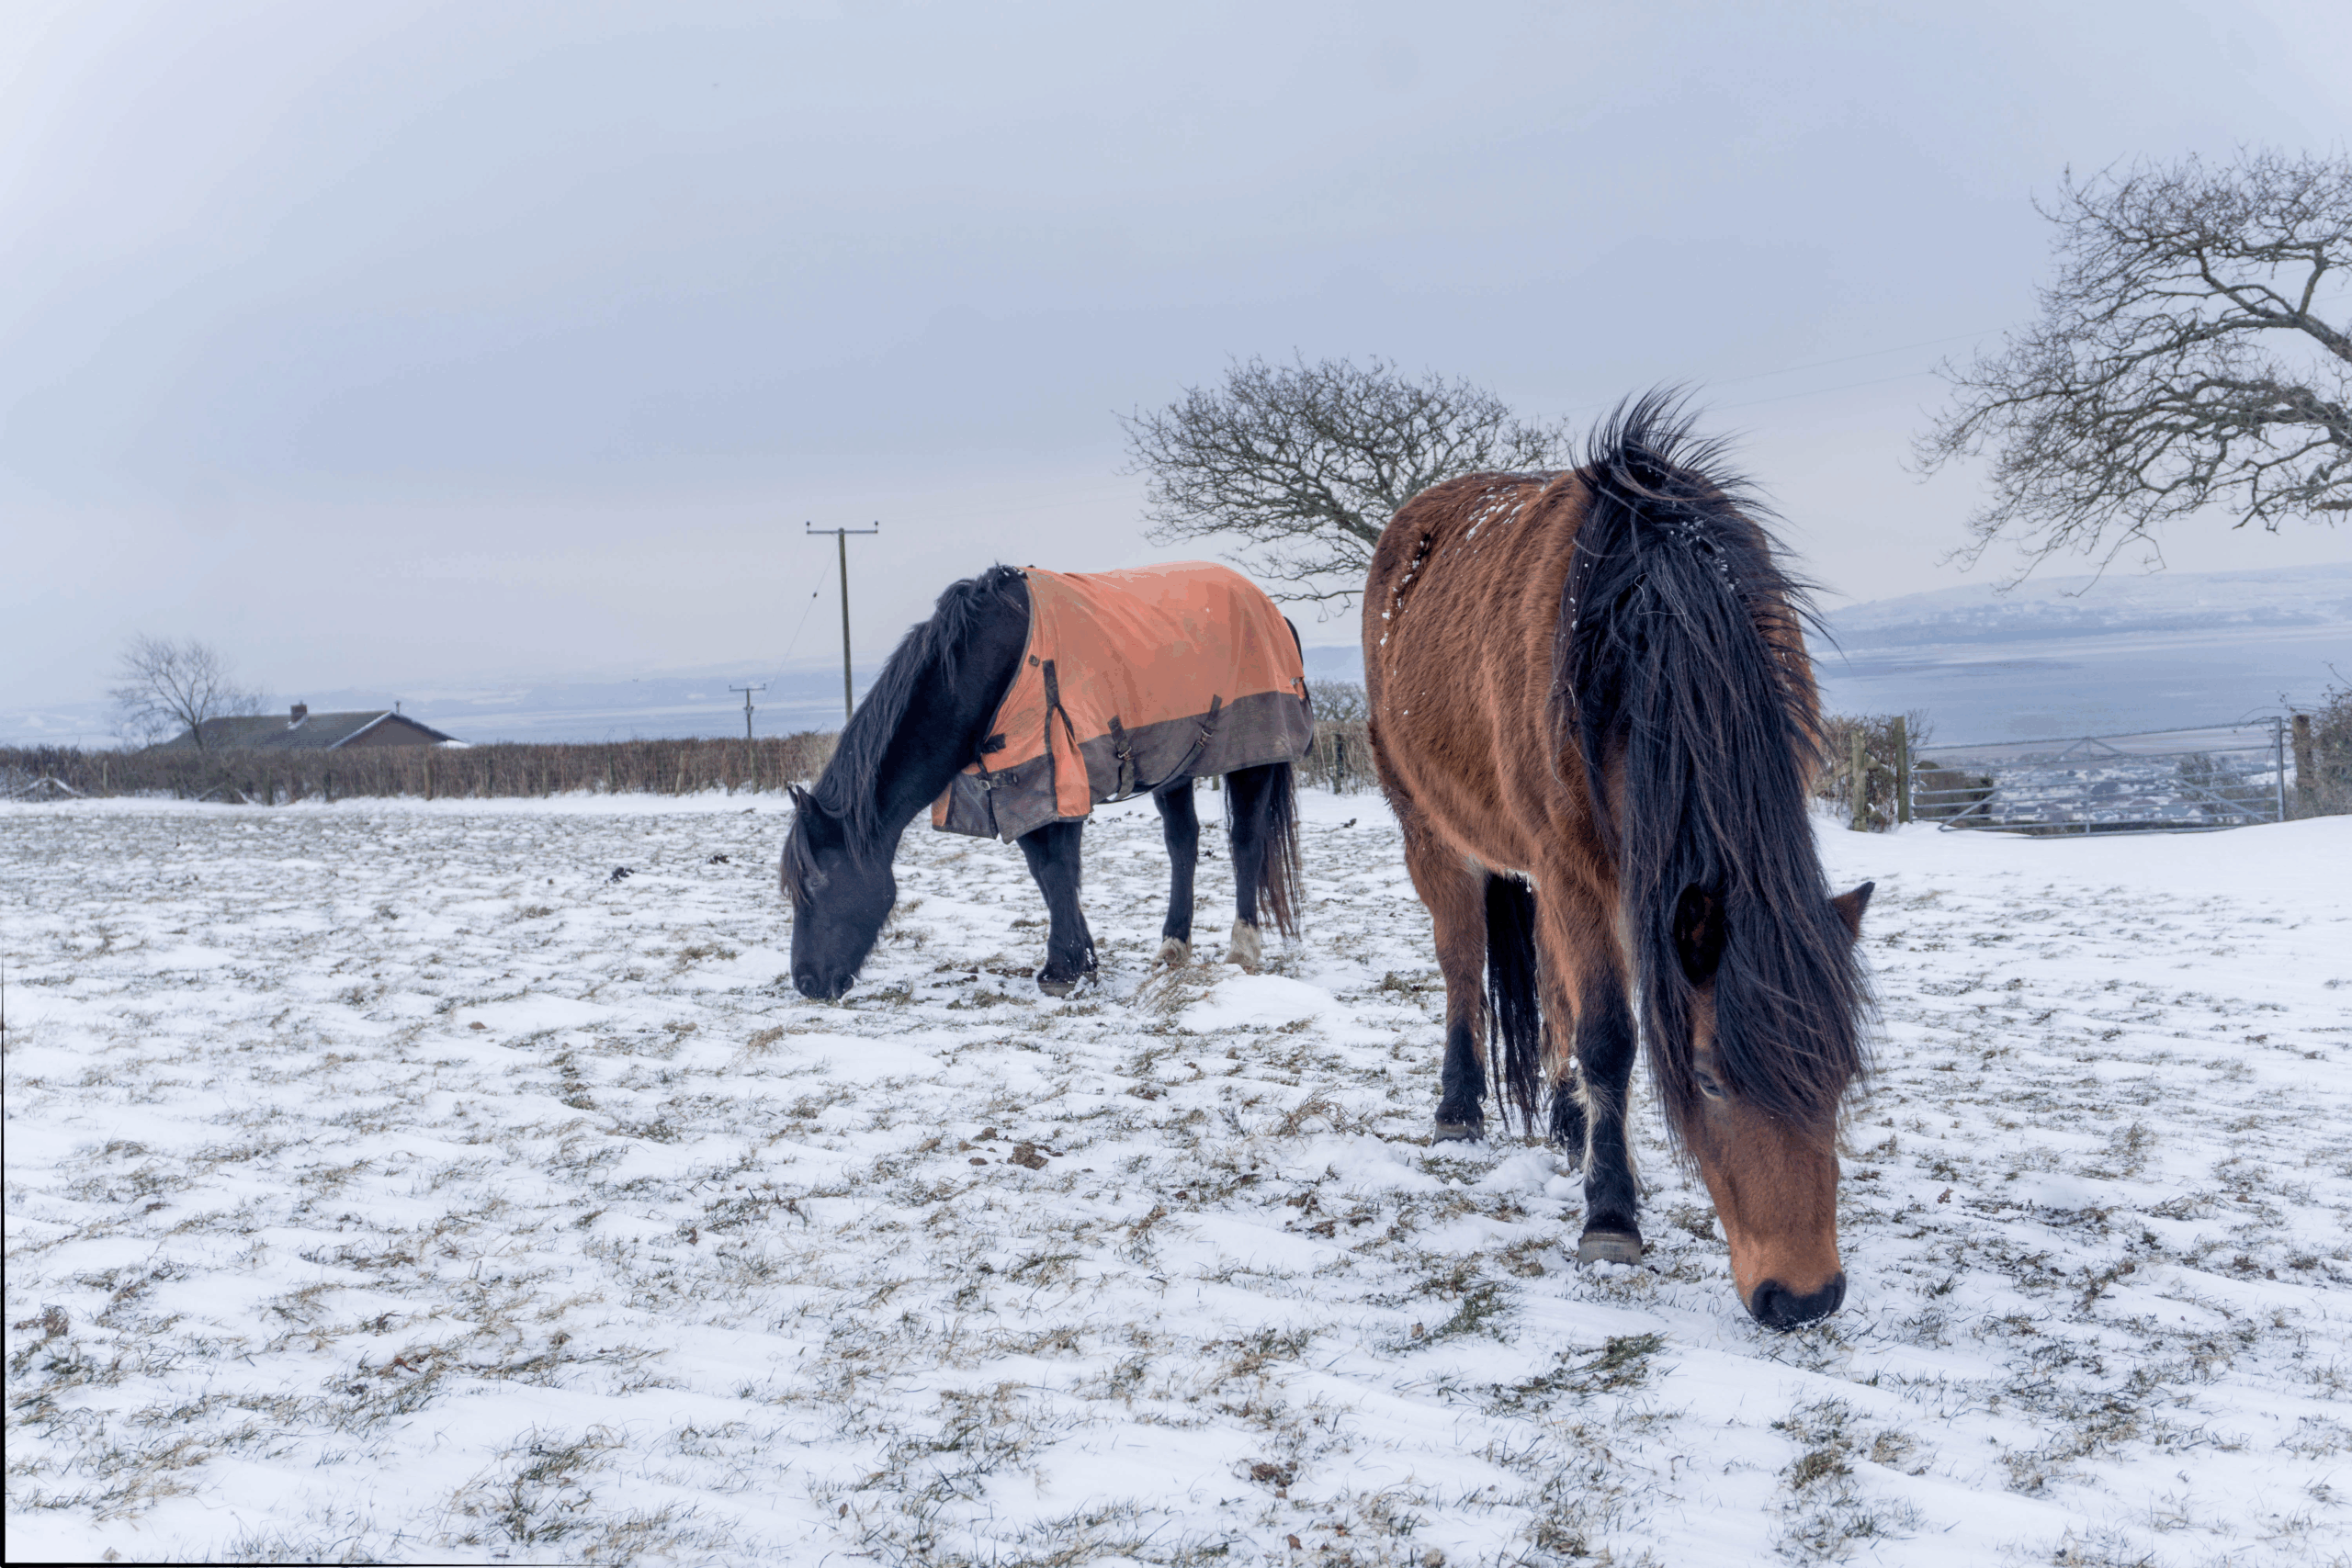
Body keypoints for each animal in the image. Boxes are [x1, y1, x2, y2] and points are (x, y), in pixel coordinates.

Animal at [783, 562, 1312, 1002]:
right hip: (1174, 763)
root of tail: (1274, 612)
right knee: (1182, 844)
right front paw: (1080, 960)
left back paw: (1243, 949)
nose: (807, 983)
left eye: (817, 881)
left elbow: (1059, 869)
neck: (991, 667)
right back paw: (1172, 948)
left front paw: (1064, 970)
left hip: (1253, 754)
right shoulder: (1017, 787)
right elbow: (1045, 872)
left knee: (1246, 842)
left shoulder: (1059, 776)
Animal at [1361, 394, 1874, 1329]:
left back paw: (1570, 1125)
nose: (1805, 1297)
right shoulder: (1573, 869)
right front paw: (1611, 1217)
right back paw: (1459, 1108)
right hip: (1434, 833)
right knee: (1462, 963)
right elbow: (1610, 1036)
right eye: (1708, 1078)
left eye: (1841, 1072)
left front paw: (1598, 1151)